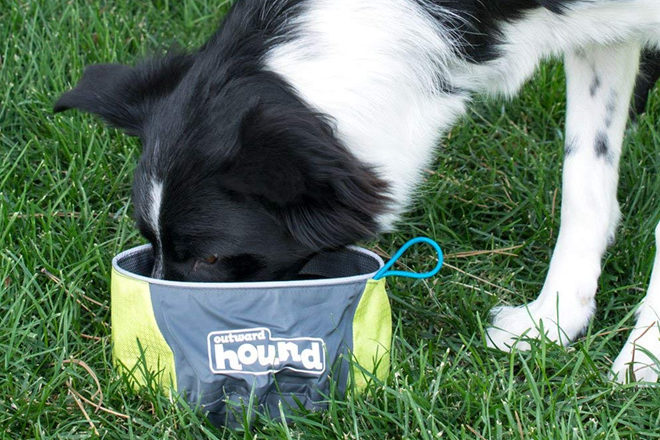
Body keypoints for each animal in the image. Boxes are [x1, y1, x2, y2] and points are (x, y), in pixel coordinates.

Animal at [55, 0, 660, 384]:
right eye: (148, 240)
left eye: (211, 258)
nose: (159, 333)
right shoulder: (603, 35)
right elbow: (584, 175)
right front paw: (554, 320)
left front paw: (643, 358)